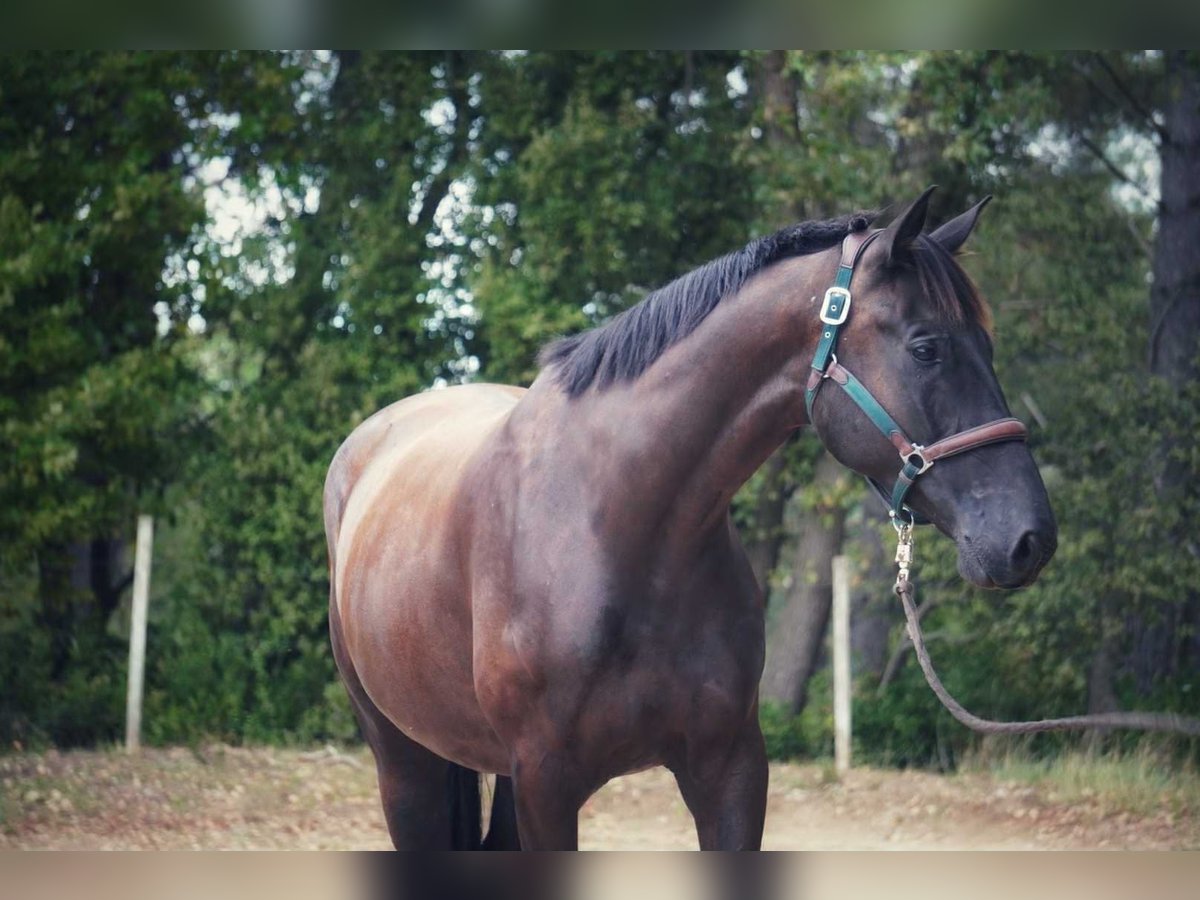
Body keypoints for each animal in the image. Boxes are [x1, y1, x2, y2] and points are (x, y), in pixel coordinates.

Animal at [323, 187, 1058, 850]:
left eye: (988, 345)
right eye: (926, 348)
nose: (1030, 539)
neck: (621, 531)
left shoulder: (730, 770)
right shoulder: (545, 784)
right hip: (404, 761)